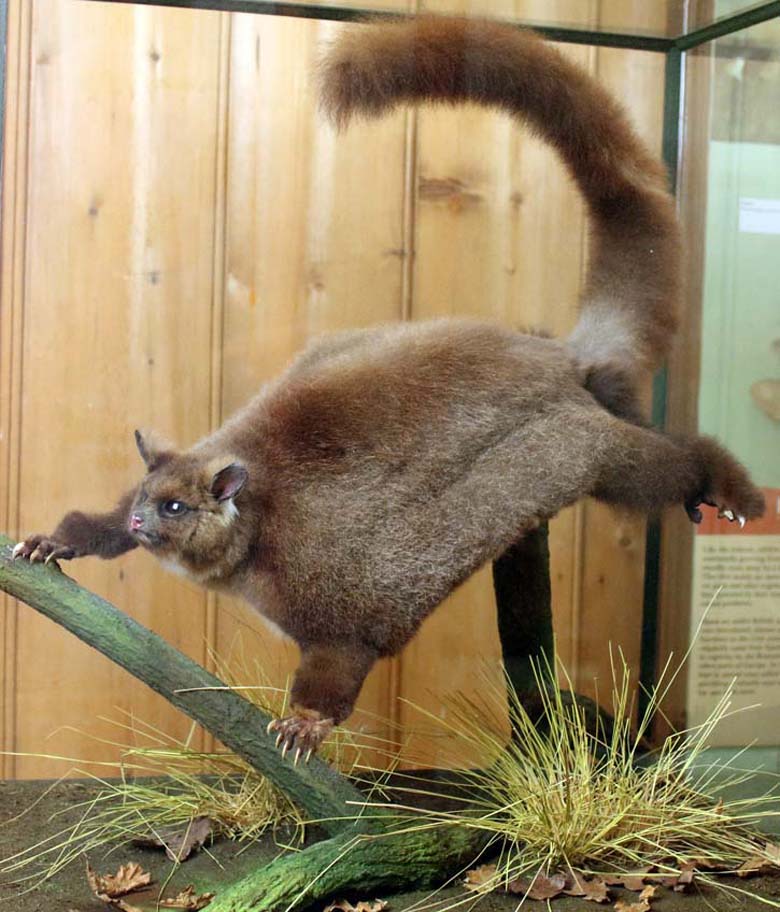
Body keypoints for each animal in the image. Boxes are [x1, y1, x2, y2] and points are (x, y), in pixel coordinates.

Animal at [14, 17, 765, 763]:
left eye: (175, 507)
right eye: (147, 498)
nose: (144, 523)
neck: (253, 528)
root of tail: (561, 355)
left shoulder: (329, 583)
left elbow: (344, 655)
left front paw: (304, 723)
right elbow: (97, 520)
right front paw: (55, 541)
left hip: (590, 445)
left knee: (661, 463)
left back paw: (730, 489)